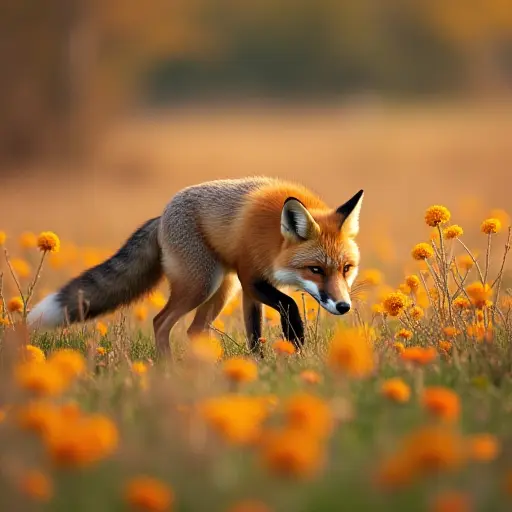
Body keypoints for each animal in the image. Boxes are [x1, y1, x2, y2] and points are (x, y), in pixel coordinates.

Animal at [28, 178, 364, 358]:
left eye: (346, 268)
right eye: (315, 270)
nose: (343, 306)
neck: (271, 236)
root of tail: (161, 216)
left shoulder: (248, 288)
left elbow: (254, 332)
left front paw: (259, 364)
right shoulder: (251, 277)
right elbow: (289, 303)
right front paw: (295, 340)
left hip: (224, 289)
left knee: (193, 331)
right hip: (202, 284)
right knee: (161, 322)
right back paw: (168, 370)